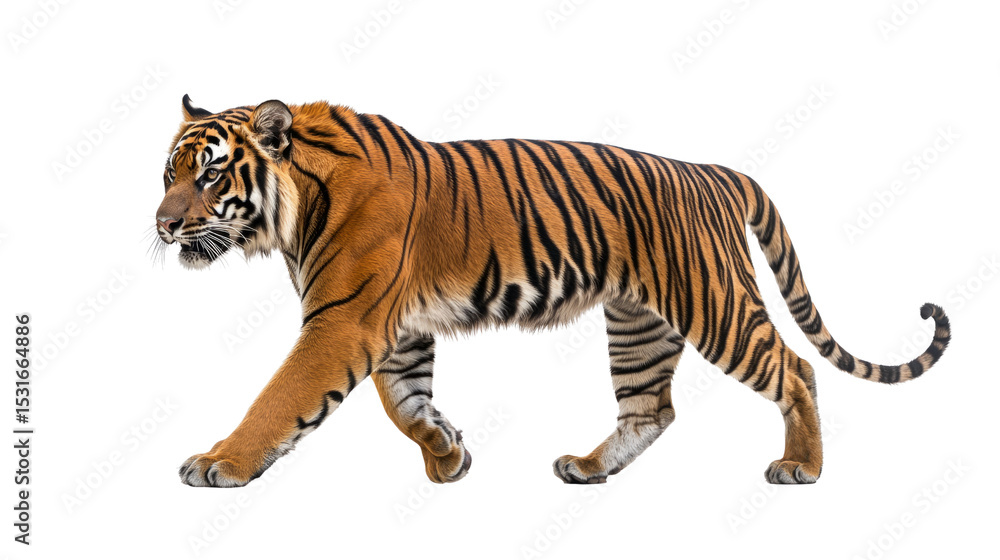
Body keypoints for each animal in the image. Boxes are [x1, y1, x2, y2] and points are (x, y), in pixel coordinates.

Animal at [156, 95, 950, 488]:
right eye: (169, 172)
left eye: (211, 175)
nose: (162, 226)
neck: (292, 208)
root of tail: (713, 171)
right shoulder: (394, 330)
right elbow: (404, 404)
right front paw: (447, 455)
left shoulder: (342, 322)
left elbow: (279, 399)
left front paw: (220, 463)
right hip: (639, 324)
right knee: (651, 409)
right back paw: (590, 469)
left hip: (715, 305)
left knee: (797, 368)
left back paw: (802, 468)